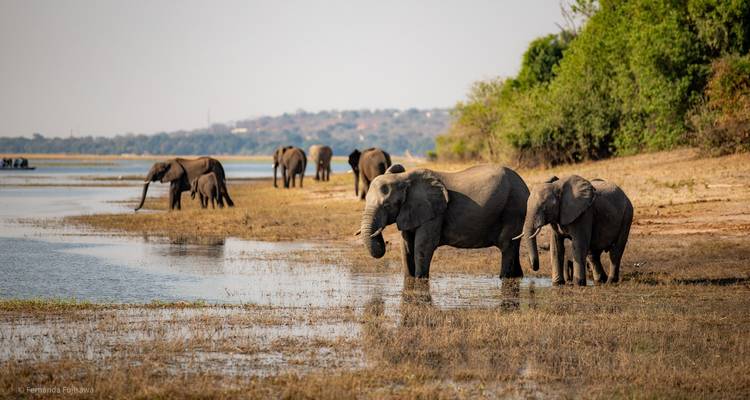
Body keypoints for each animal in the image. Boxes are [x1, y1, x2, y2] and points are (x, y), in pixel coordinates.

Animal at [359, 164, 538, 279]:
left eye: (387, 205)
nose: (384, 243)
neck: (403, 178)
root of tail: (525, 185)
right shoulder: (411, 211)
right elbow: (407, 246)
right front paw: (410, 280)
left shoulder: (435, 213)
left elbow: (423, 246)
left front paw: (420, 279)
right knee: (512, 246)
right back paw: (517, 277)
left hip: (513, 208)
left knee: (507, 246)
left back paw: (504, 278)